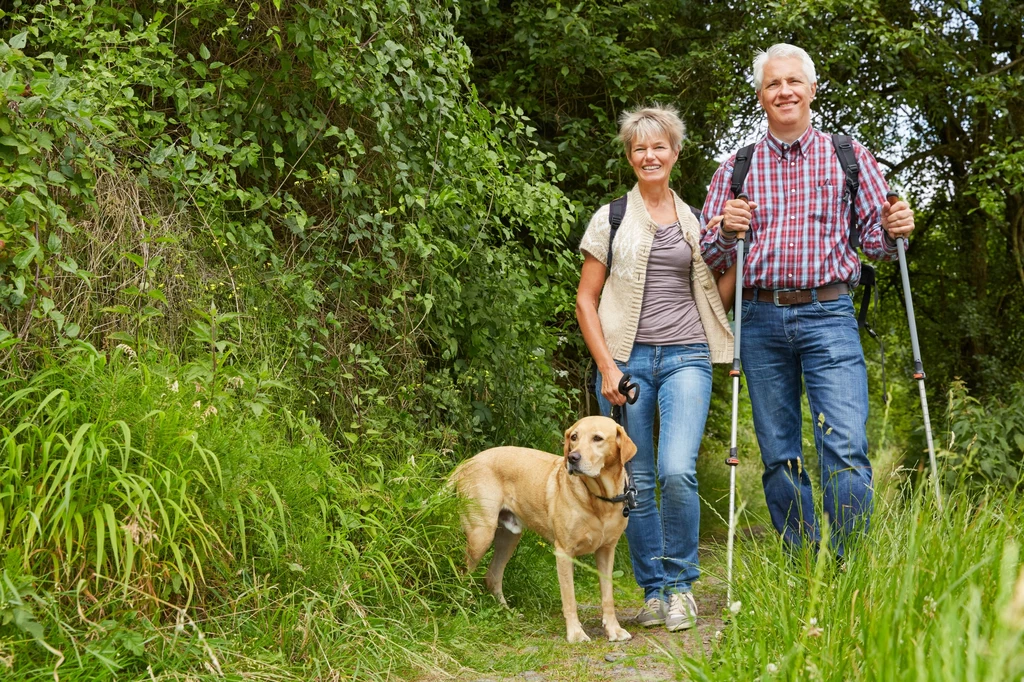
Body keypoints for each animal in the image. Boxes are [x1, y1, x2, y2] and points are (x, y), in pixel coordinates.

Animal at [454, 411, 634, 638]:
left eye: (597, 438)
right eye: (574, 437)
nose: (572, 458)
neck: (600, 499)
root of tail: (468, 462)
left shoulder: (606, 551)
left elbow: (608, 596)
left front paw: (613, 630)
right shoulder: (564, 552)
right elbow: (569, 598)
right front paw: (575, 633)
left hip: (509, 538)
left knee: (492, 575)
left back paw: (506, 613)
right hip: (480, 536)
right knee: (463, 574)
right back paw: (466, 609)